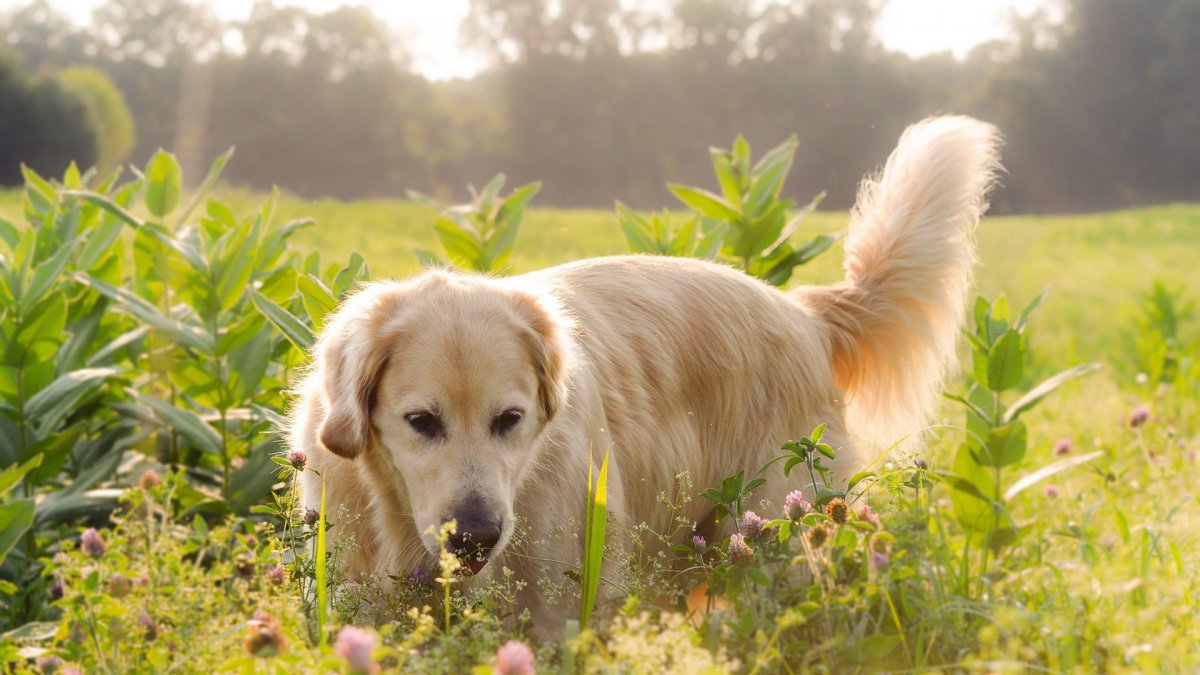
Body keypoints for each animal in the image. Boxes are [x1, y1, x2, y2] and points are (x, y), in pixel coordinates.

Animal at [290, 114, 1003, 624]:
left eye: (509, 419)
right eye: (421, 421)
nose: (476, 536)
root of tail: (802, 310)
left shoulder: (561, 610)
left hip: (774, 540)